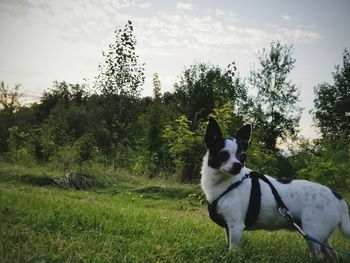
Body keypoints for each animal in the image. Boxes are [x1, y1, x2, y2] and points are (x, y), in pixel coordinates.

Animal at [201, 118, 350, 262]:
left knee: (318, 256)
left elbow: (233, 250)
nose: (238, 165)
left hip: (313, 234)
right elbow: (228, 243)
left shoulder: (236, 227)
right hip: (322, 237)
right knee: (333, 254)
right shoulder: (228, 228)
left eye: (243, 157)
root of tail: (337, 196)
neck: (229, 183)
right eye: (223, 155)